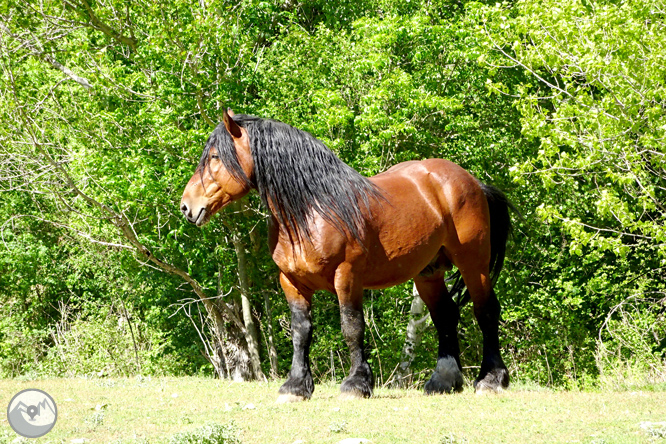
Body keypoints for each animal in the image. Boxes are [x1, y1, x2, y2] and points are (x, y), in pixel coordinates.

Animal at [179, 109, 510, 400]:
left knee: (485, 311)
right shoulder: (291, 282)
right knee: (445, 315)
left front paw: (356, 384)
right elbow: (301, 332)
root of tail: (470, 181)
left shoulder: (347, 276)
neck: (311, 210)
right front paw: (296, 386)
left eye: (214, 157)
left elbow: (352, 327)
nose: (186, 206)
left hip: (473, 263)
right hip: (428, 272)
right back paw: (443, 381)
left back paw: (491, 380)